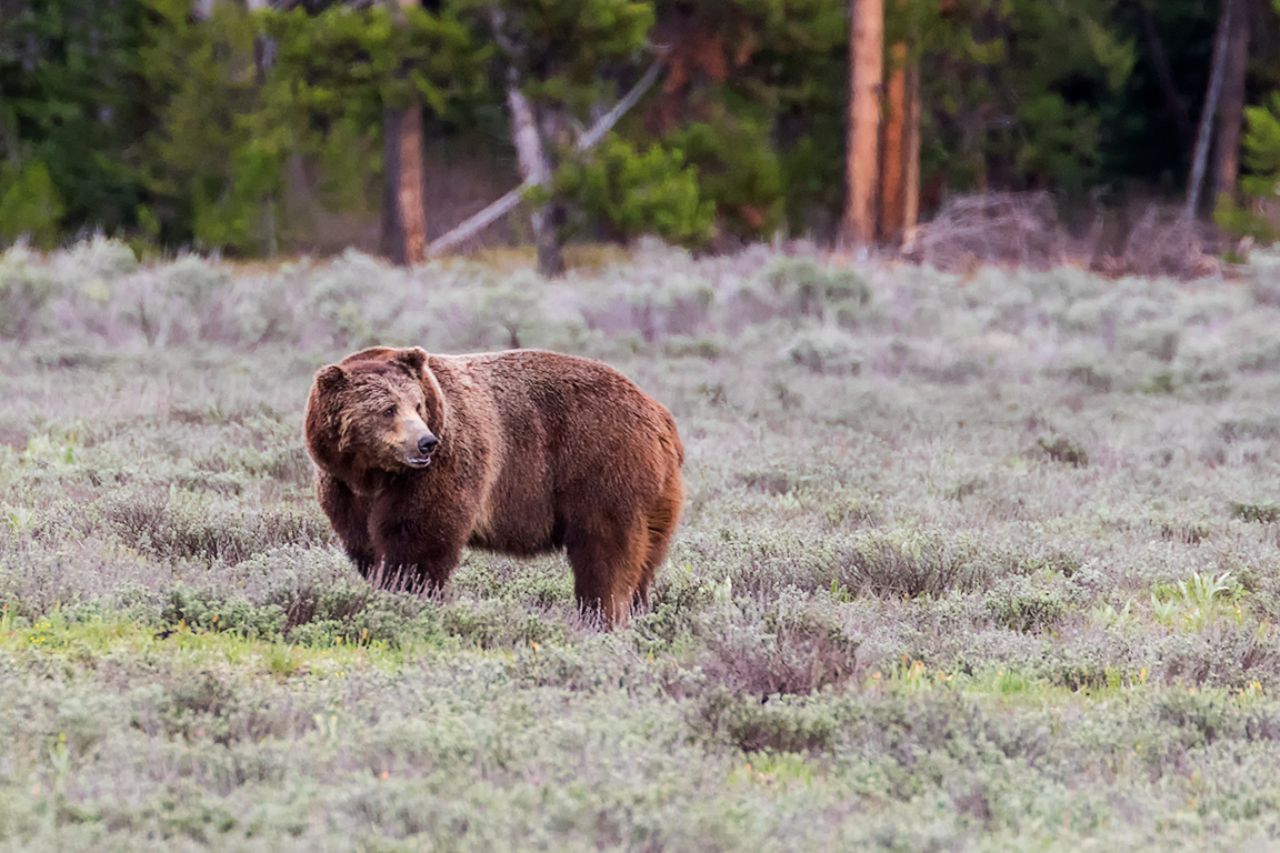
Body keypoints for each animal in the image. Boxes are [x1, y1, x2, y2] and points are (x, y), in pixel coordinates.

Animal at [304, 345, 684, 627]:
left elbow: (418, 540)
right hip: (655, 496)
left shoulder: (441, 467)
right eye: (387, 409)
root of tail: (660, 414)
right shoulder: (343, 486)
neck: (374, 472)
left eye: (418, 405)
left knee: (605, 553)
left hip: (602, 466)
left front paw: (409, 594)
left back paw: (600, 616)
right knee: (644, 560)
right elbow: (365, 542)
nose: (425, 443)